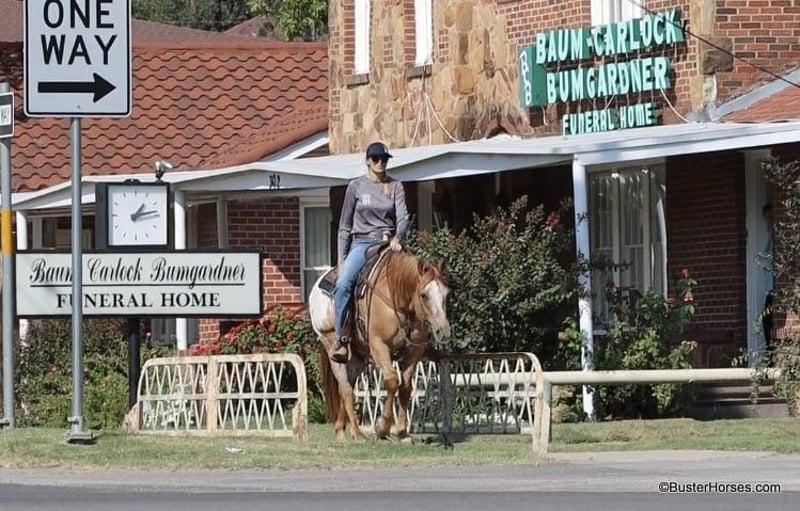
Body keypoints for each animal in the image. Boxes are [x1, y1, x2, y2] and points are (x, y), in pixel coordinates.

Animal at [308, 247, 451, 441]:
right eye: (424, 295)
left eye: (446, 294)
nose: (443, 331)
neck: (397, 298)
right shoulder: (379, 346)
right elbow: (391, 381)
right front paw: (383, 428)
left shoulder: (414, 351)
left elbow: (405, 387)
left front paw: (402, 432)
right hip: (331, 346)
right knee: (345, 388)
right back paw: (357, 433)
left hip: (358, 357)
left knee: (348, 385)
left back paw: (340, 429)